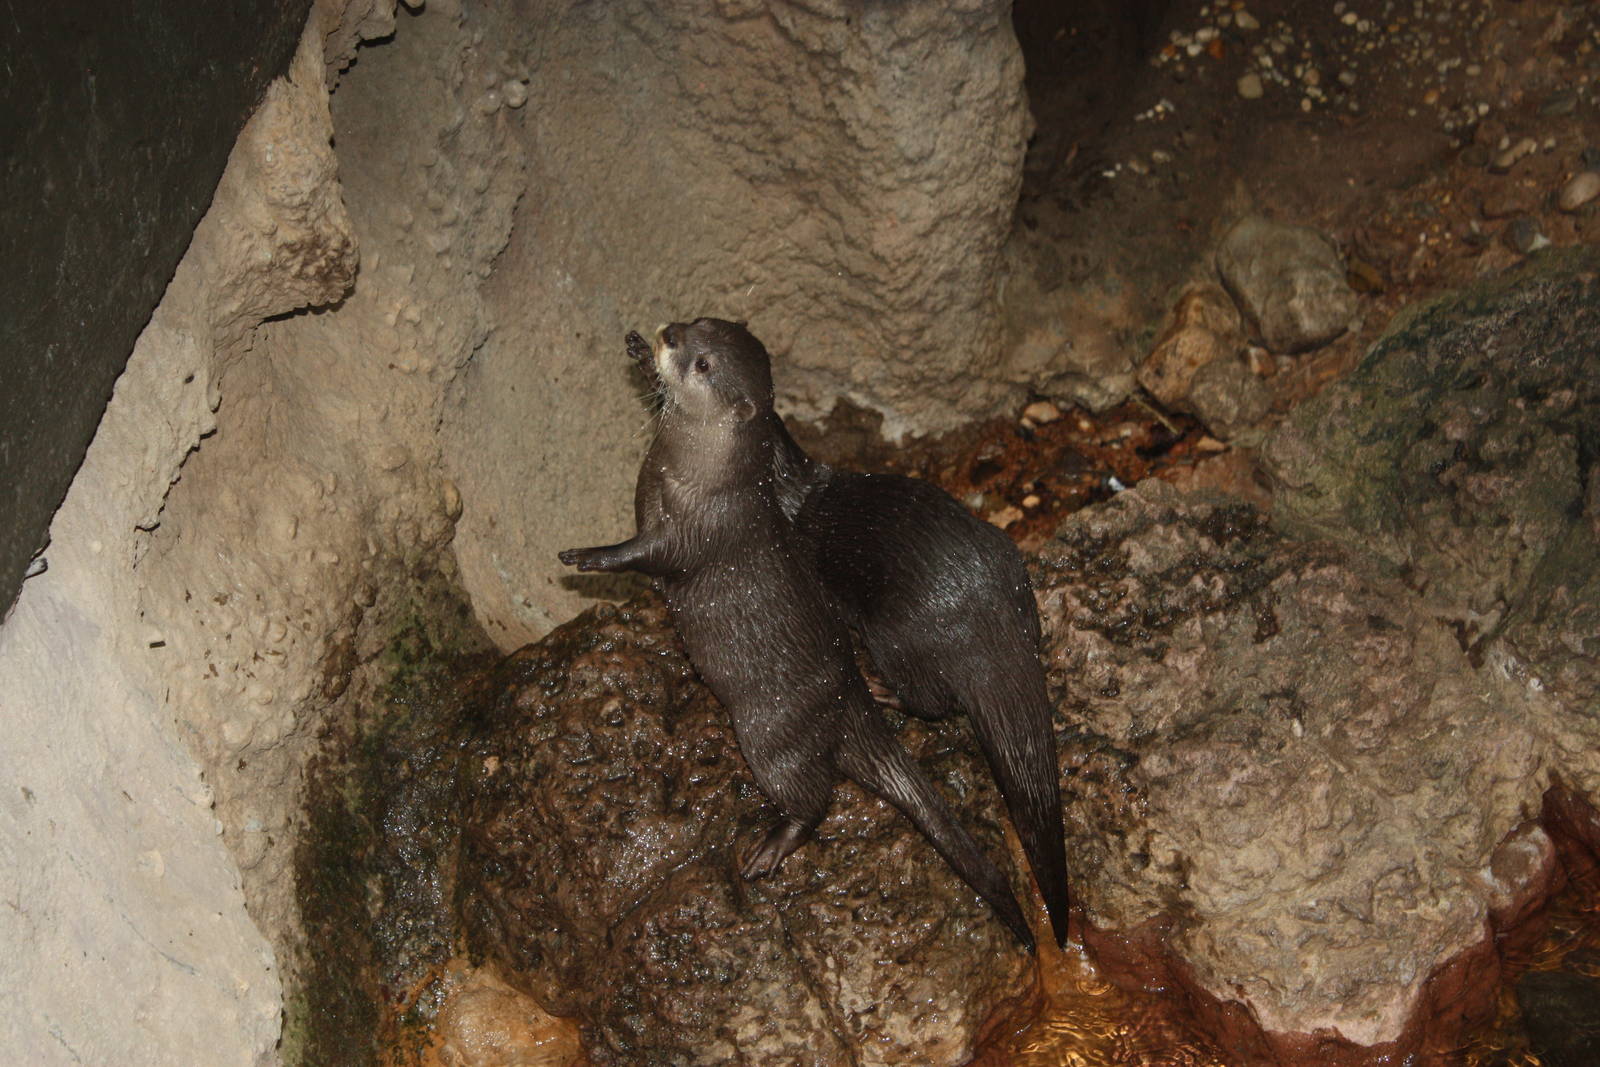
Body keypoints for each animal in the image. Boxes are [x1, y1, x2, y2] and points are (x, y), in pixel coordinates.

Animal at [560, 317, 1034, 950]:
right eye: (694, 325)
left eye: (704, 364)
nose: (668, 336)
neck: (689, 468)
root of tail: (851, 700)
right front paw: (637, 350)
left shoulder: (694, 530)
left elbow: (647, 555)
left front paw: (589, 555)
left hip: (771, 736)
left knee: (814, 797)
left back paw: (771, 847)